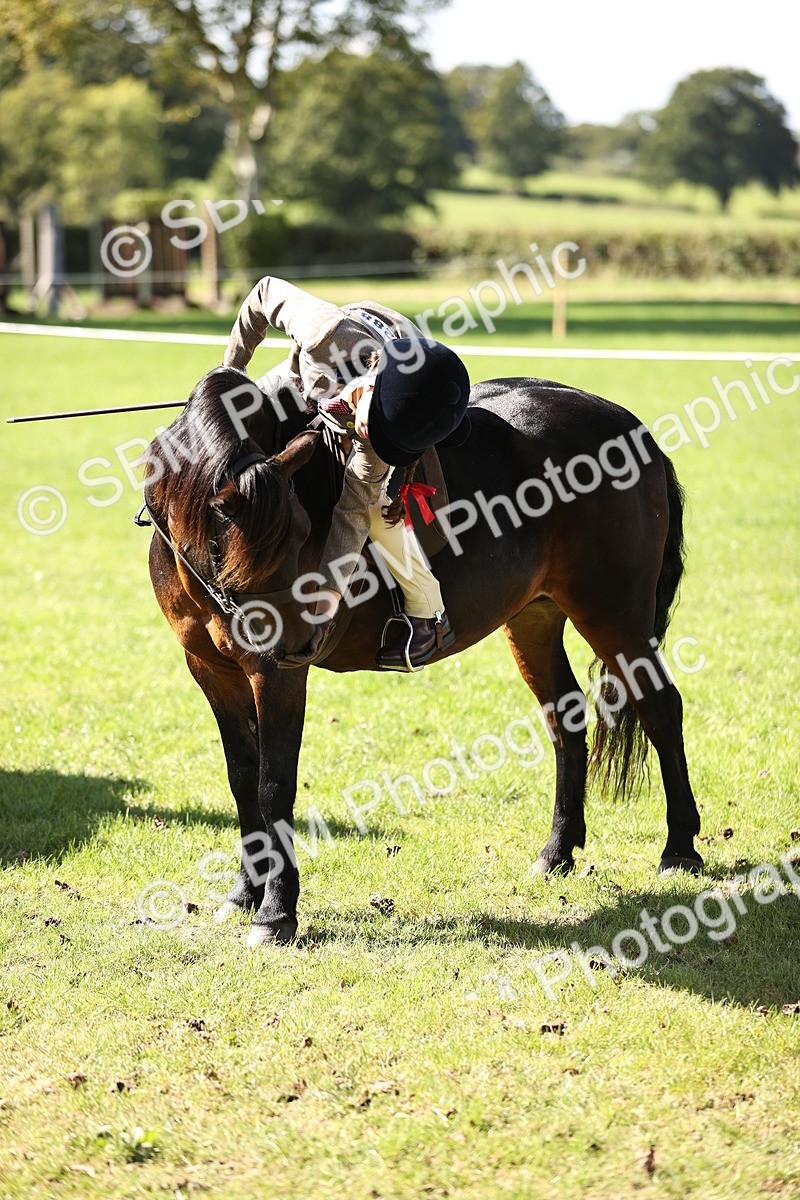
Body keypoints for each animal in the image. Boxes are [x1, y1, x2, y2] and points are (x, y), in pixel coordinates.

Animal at [142, 366, 703, 945]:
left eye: (299, 534)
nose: (299, 642)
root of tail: (630, 427)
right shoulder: (213, 671)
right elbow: (242, 779)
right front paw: (243, 893)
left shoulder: (274, 678)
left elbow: (274, 785)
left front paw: (276, 913)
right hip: (534, 617)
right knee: (565, 721)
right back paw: (557, 851)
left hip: (614, 615)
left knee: (661, 709)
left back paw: (679, 849)